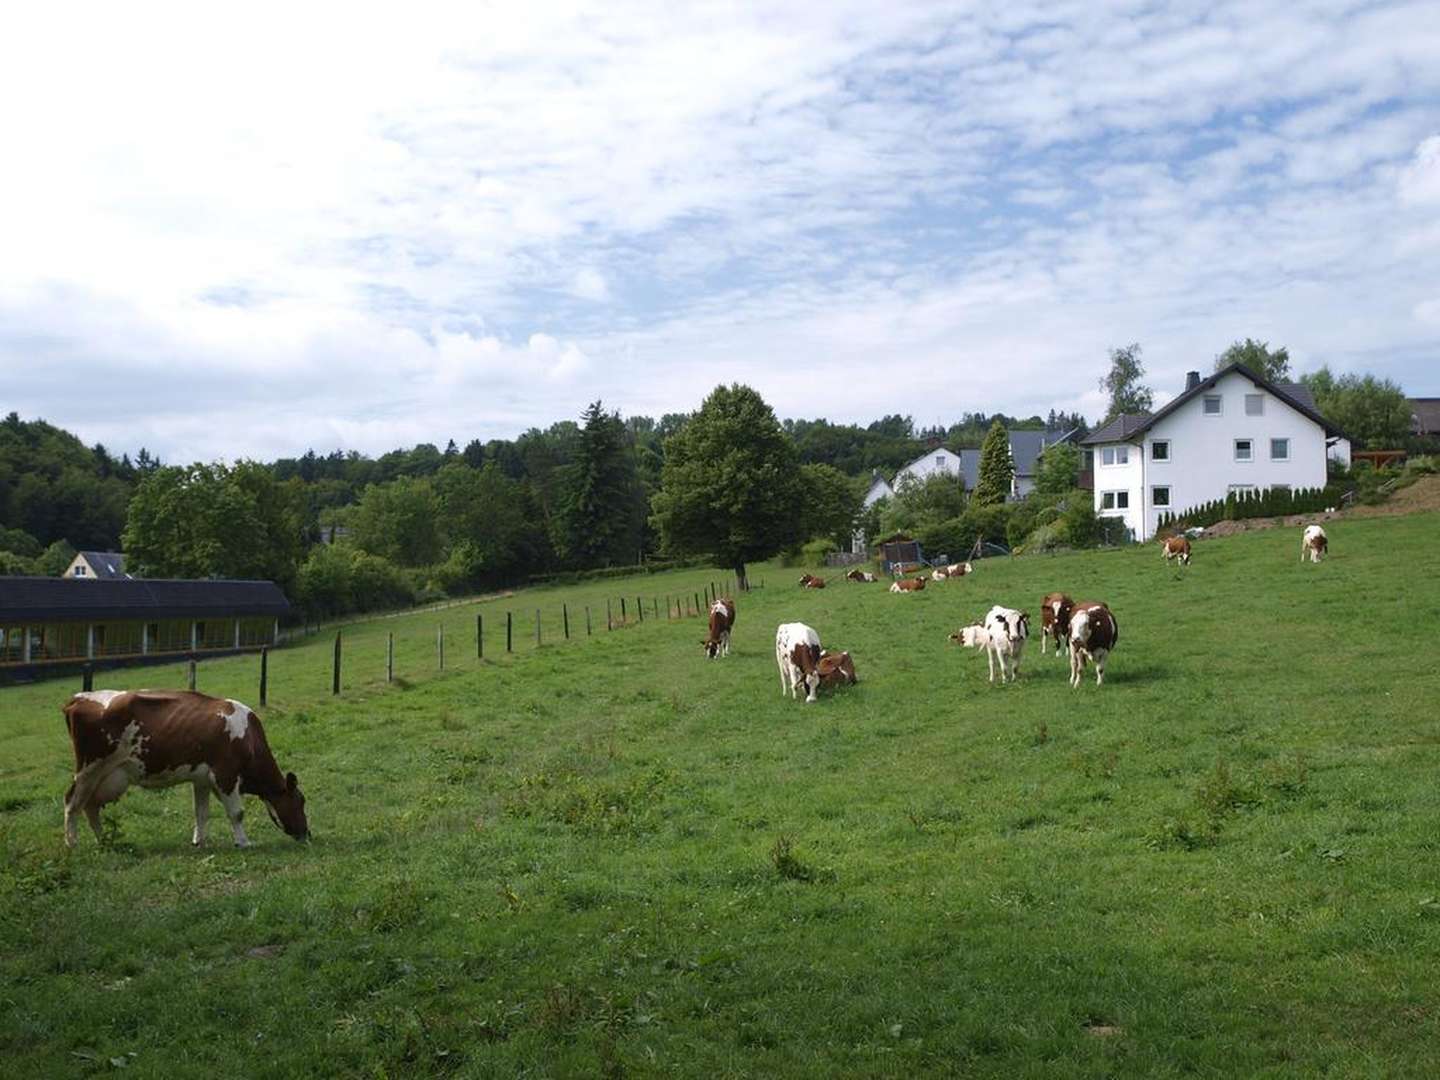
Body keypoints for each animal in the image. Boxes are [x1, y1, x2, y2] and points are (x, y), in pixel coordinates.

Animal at [63, 694, 311, 852]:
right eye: (300, 801)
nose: (307, 834)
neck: (248, 737)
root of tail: (78, 698)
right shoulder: (226, 775)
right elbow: (237, 813)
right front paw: (243, 842)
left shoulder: (202, 778)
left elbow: (201, 812)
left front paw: (199, 841)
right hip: (89, 769)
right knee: (72, 803)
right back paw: (72, 844)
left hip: (105, 776)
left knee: (90, 806)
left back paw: (104, 841)